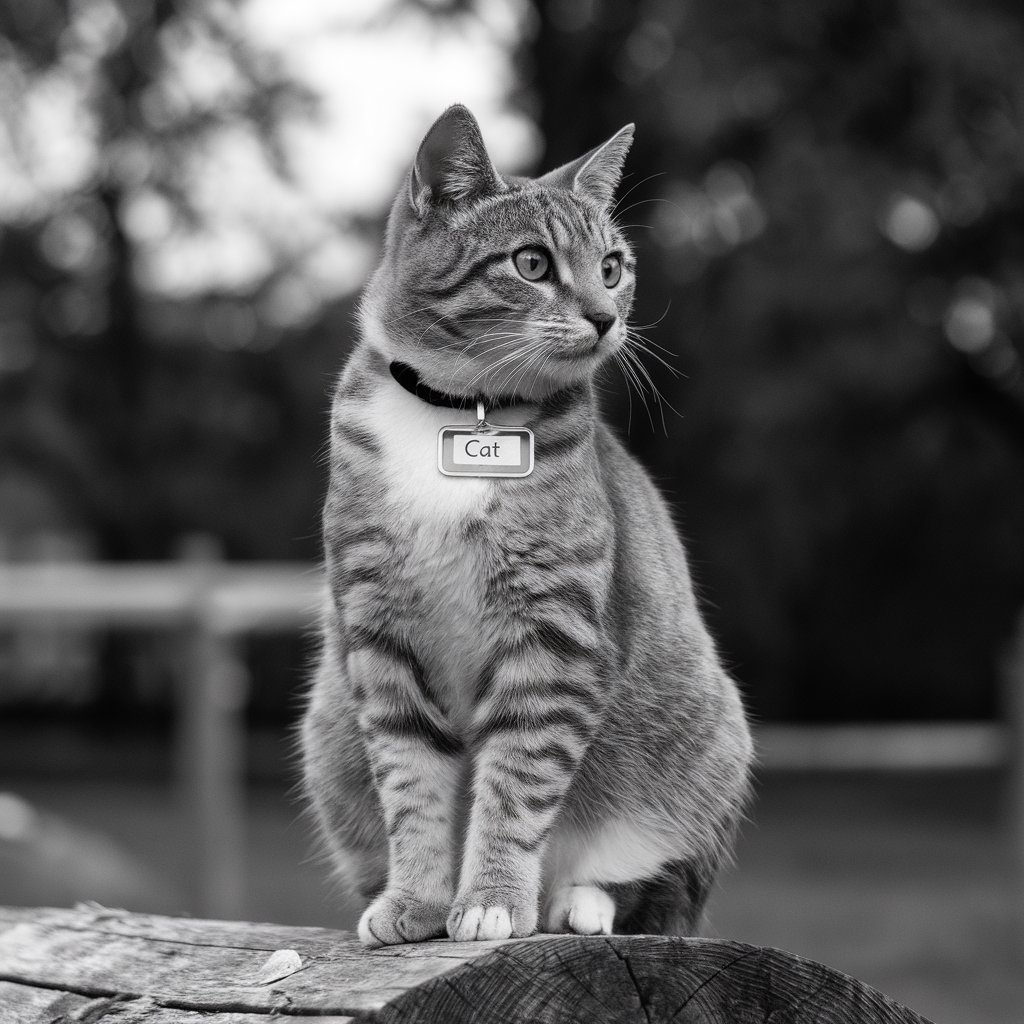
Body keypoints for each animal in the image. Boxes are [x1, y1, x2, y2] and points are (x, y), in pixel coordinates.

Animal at [299, 103, 753, 942]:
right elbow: (410, 781)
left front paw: (490, 899)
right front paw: (417, 898)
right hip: (327, 728)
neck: (463, 410)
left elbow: (518, 777)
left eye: (612, 267)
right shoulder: (378, 633)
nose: (605, 318)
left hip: (706, 735)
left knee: (652, 888)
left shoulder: (556, 632)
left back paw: (575, 903)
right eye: (532, 264)